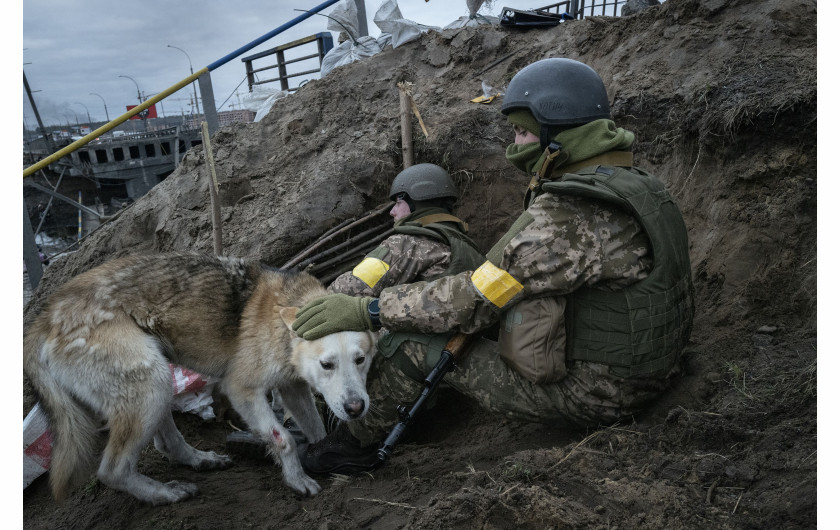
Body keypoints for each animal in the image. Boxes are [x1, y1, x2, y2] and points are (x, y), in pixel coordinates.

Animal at [22, 252, 374, 504]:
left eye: (361, 360)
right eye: (327, 365)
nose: (357, 408)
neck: (284, 319)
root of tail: (45, 317)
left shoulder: (293, 387)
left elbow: (316, 429)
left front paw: (324, 455)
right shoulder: (242, 389)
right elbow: (283, 439)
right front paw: (298, 480)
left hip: (156, 384)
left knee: (165, 442)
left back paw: (200, 460)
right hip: (151, 385)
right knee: (112, 470)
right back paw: (163, 494)